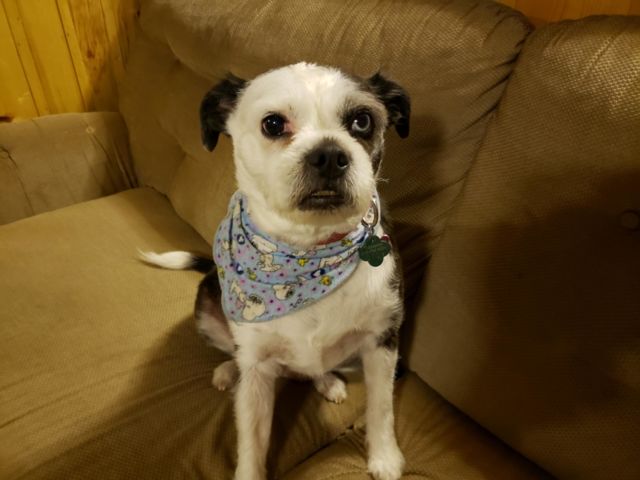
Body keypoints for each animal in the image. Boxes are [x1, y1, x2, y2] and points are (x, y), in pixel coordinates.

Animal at [140, 62, 410, 480]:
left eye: (362, 120)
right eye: (272, 124)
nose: (329, 155)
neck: (307, 254)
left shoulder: (382, 341)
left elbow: (381, 407)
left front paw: (384, 457)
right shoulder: (257, 370)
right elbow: (251, 441)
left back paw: (326, 380)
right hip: (205, 307)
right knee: (234, 354)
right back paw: (227, 372)